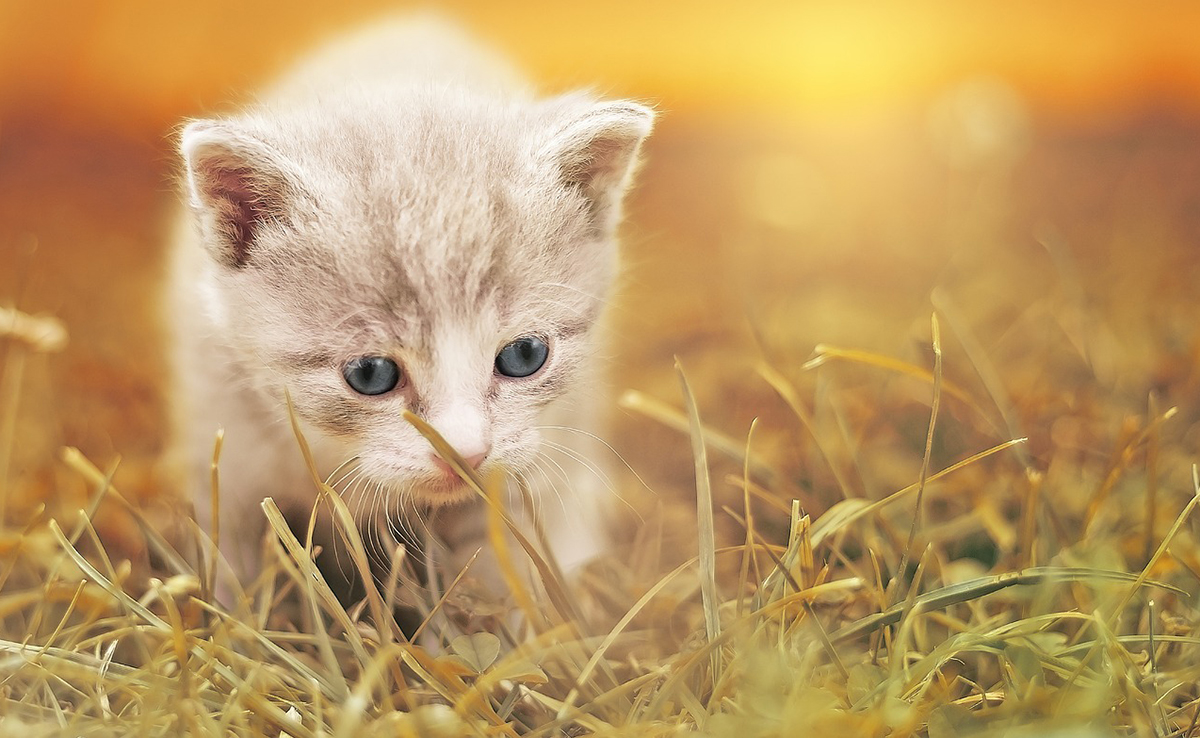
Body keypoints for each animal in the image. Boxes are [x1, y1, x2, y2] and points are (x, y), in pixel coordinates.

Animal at [166, 17, 657, 602]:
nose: (465, 454)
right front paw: (231, 611)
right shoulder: (223, 437)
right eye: (371, 373)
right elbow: (231, 552)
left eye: (524, 355)